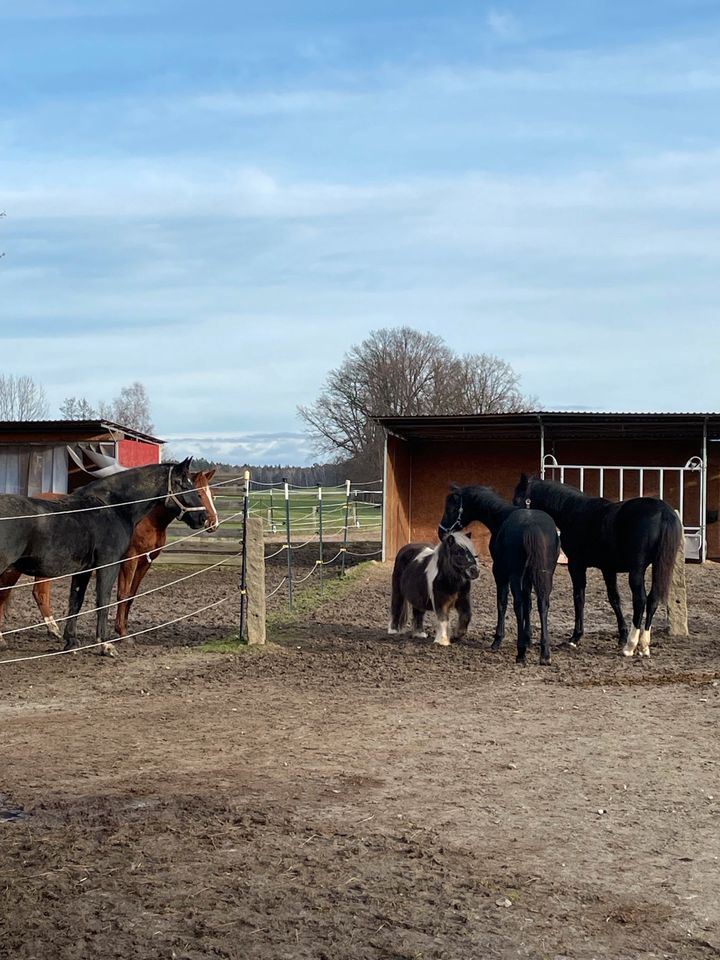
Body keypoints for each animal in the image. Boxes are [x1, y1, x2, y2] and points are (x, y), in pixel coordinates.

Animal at [0, 460, 208, 656]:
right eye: (185, 485)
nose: (203, 517)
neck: (113, 507)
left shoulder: (83, 570)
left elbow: (76, 601)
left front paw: (71, 642)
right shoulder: (109, 564)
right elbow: (104, 600)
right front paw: (106, 645)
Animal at [436, 484, 560, 664]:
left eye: (451, 507)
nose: (441, 532)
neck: (501, 517)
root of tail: (532, 527)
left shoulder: (500, 571)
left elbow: (502, 602)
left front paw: (498, 640)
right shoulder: (528, 576)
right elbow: (529, 604)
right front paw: (528, 639)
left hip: (515, 575)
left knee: (518, 604)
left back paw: (520, 652)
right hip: (545, 574)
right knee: (542, 603)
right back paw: (545, 653)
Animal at [510, 474, 684, 656]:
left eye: (518, 498)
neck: (572, 511)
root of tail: (664, 513)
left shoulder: (576, 565)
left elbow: (579, 598)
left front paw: (575, 637)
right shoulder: (608, 569)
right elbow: (614, 599)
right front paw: (621, 635)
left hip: (637, 570)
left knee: (640, 600)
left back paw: (630, 646)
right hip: (659, 566)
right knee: (653, 599)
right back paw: (643, 646)